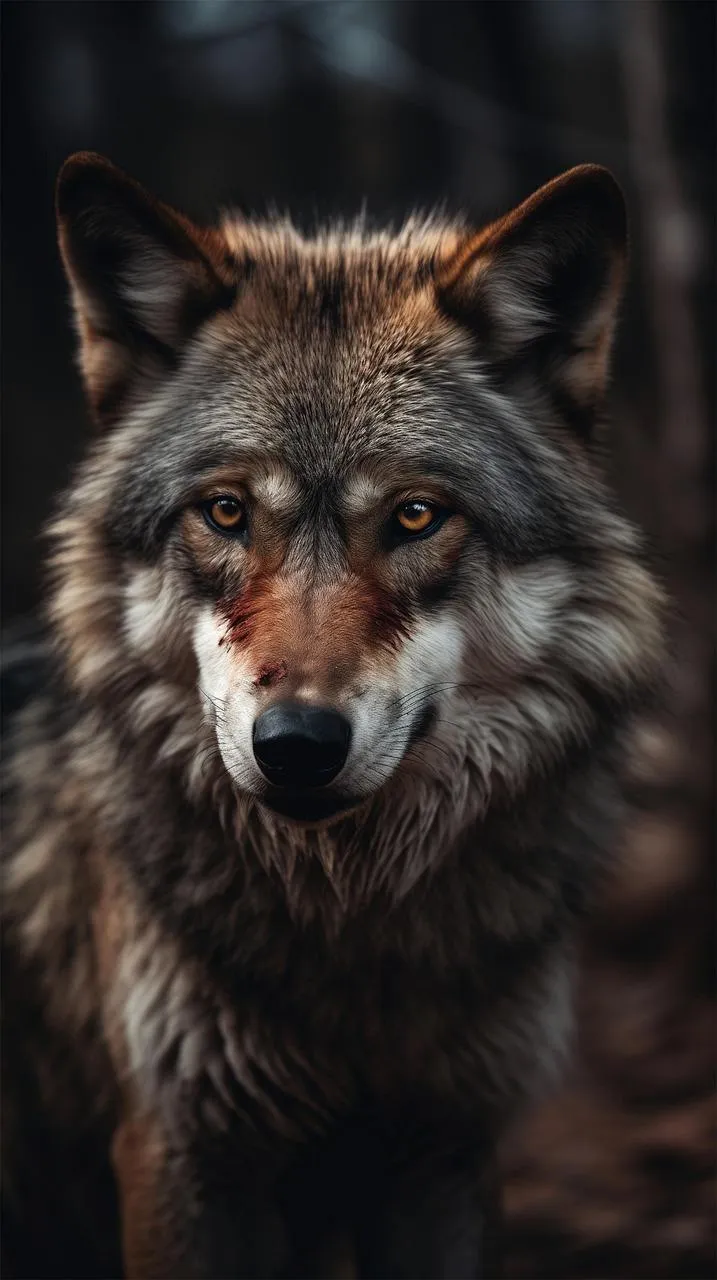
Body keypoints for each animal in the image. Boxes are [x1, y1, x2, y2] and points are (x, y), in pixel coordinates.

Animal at [1, 153, 665, 1279]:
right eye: (226, 511)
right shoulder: (182, 1153)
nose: (297, 747)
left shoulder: (444, 1152)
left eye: (415, 515)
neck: (347, 928)